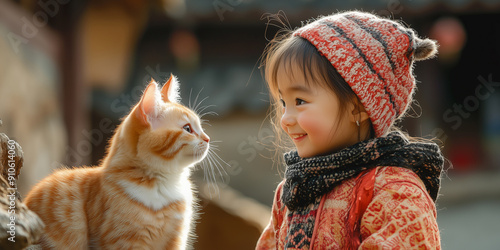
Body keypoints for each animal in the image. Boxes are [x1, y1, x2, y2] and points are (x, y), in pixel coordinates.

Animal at [24, 75, 209, 249]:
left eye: (200, 127)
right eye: (188, 129)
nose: (207, 138)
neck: (163, 185)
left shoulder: (176, 240)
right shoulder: (125, 241)